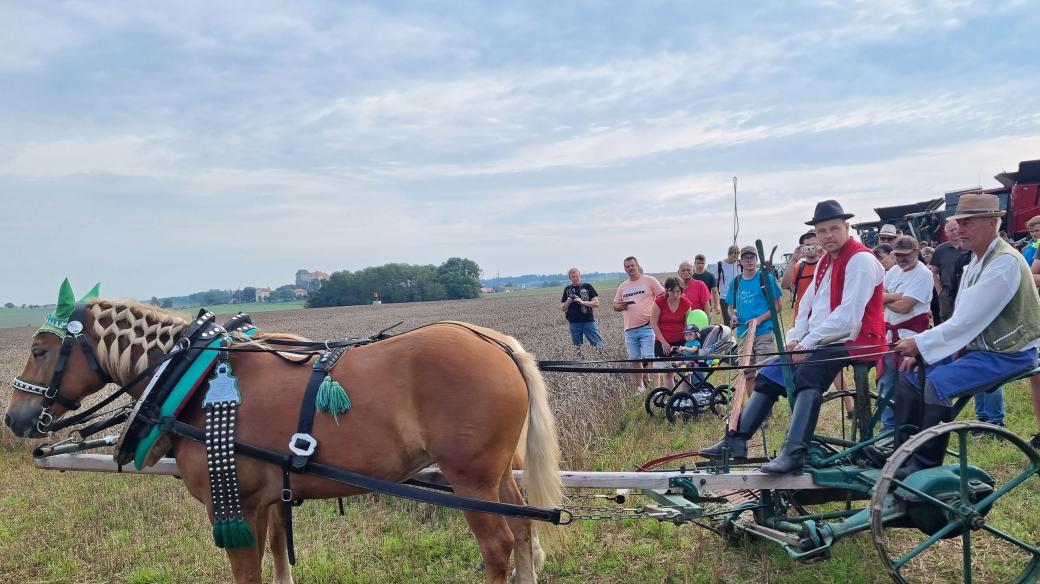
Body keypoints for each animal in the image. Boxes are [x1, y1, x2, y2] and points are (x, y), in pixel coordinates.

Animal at [6, 297, 561, 577]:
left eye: (39, 350)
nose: (14, 418)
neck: (195, 379)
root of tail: (498, 343)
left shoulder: (233, 505)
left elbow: (247, 571)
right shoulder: (269, 499)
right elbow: (277, 555)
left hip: (469, 478)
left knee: (499, 547)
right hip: (497, 476)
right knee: (525, 531)